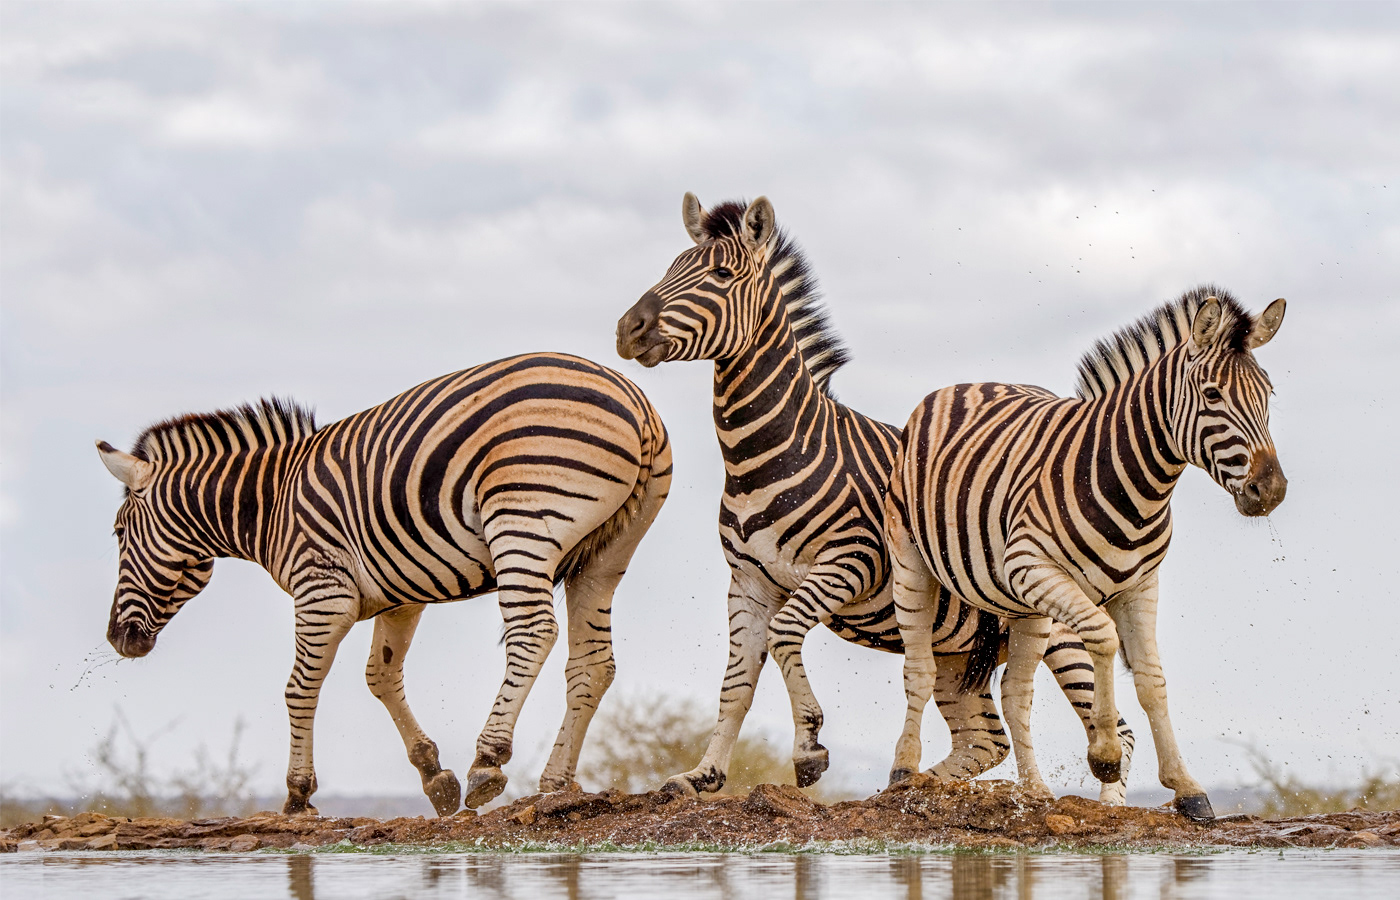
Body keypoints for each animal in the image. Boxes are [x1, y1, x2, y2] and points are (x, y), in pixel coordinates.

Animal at [96, 352, 672, 815]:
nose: (117, 640)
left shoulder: (322, 591)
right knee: (593, 664)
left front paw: (298, 794)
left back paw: (488, 761)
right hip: (605, 555)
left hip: (522, 520)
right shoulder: (402, 593)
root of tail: (635, 400)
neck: (272, 505)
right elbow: (381, 676)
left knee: (533, 634)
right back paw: (555, 782)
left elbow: (299, 687)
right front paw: (434, 776)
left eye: (119, 533)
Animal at [616, 193, 1134, 799]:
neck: (764, 453)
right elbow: (736, 685)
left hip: (1060, 626)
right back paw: (910, 788)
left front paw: (810, 750)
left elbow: (786, 633)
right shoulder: (747, 583)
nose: (626, 329)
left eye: (721, 275)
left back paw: (1106, 806)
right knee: (984, 741)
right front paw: (703, 774)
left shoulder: (852, 561)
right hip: (956, 649)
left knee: (1116, 729)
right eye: (672, 266)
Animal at [885, 287, 1287, 821]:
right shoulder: (1034, 567)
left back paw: (1035, 793)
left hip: (1025, 607)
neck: (1137, 484)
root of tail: (965, 385)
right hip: (914, 561)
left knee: (1015, 693)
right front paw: (1106, 757)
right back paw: (904, 773)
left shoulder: (1140, 585)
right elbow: (1102, 637)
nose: (1272, 491)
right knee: (920, 671)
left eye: (1269, 396)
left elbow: (1153, 680)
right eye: (1212, 395)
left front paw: (1187, 788)